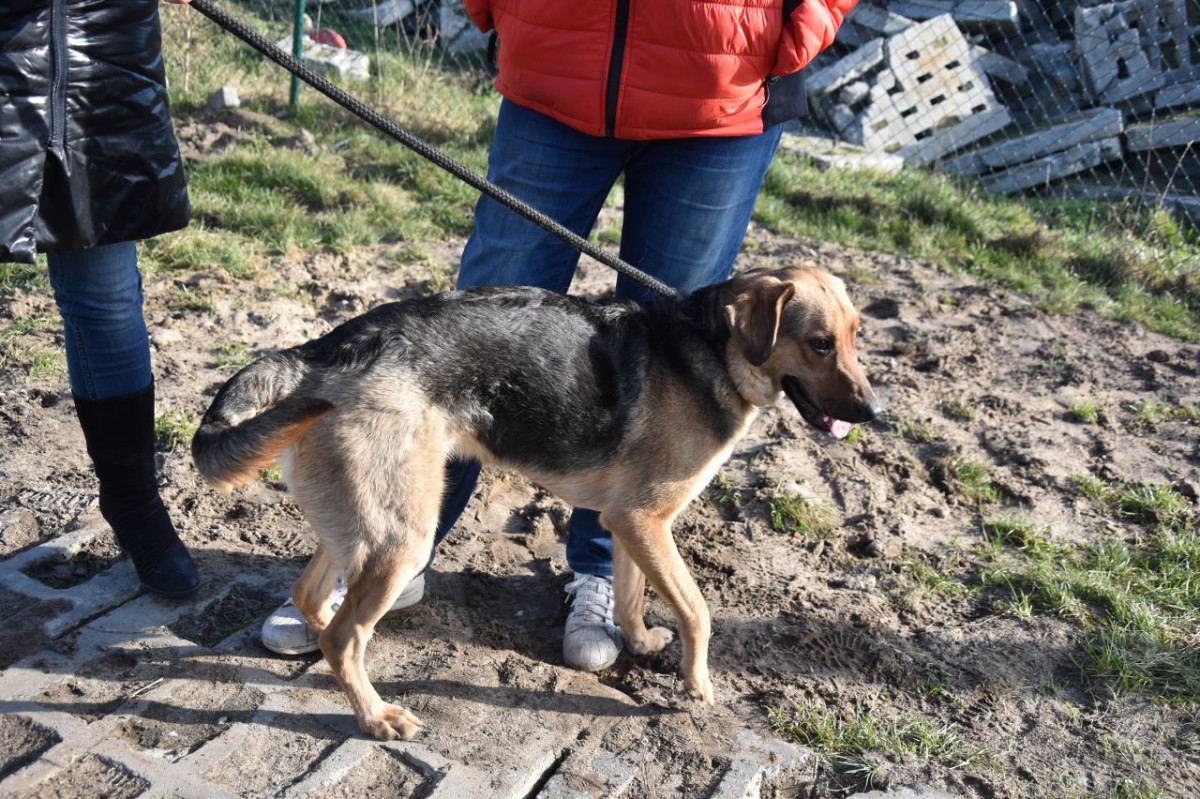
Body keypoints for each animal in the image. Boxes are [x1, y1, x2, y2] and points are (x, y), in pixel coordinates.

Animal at [189, 263, 883, 739]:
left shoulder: (629, 522)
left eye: (855, 338)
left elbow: (631, 595)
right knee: (342, 637)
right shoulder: (645, 519)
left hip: (363, 525)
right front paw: (697, 684)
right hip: (404, 532)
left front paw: (639, 644)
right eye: (820, 343)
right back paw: (377, 715)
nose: (876, 414)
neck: (711, 348)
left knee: (314, 600)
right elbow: (698, 611)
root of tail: (318, 351)